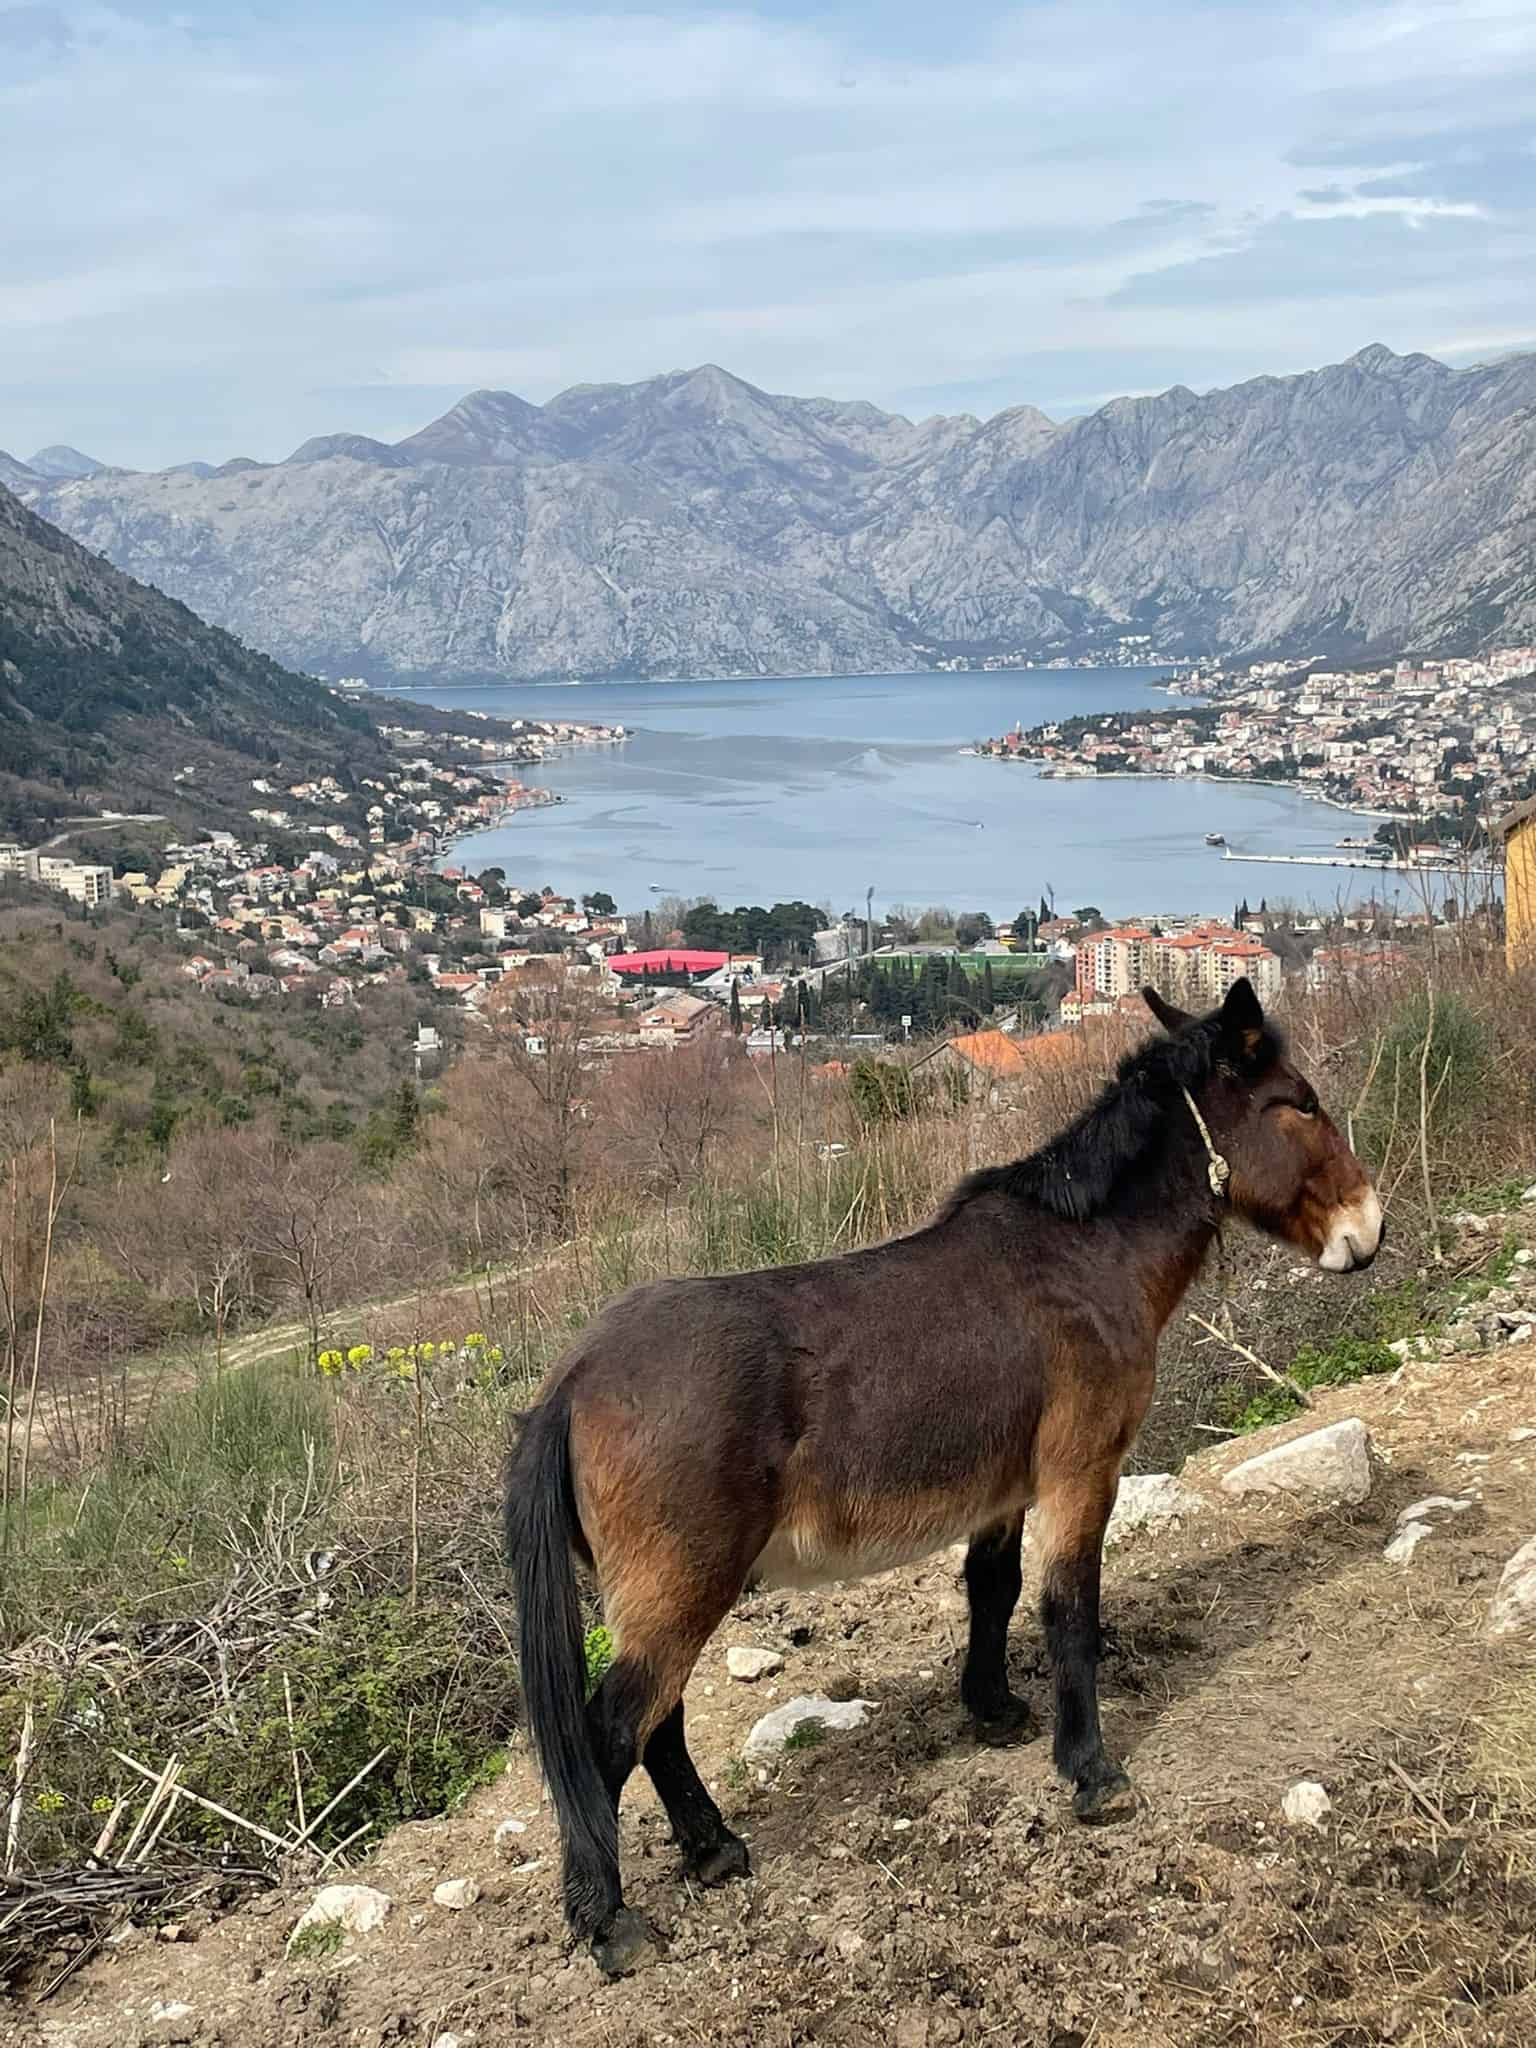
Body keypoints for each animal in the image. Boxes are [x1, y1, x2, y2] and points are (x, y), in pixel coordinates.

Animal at [505, 977, 1382, 1974]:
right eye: (1299, 1103)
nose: (1370, 1229)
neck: (1088, 1254)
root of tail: (573, 1378)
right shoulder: (1082, 1470)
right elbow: (1068, 1607)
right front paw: (1092, 1774)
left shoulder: (1006, 1491)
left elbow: (993, 1591)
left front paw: (994, 1711)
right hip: (684, 1581)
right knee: (613, 1730)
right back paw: (609, 1920)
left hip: (669, 1591)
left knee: (659, 1722)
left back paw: (714, 1850)